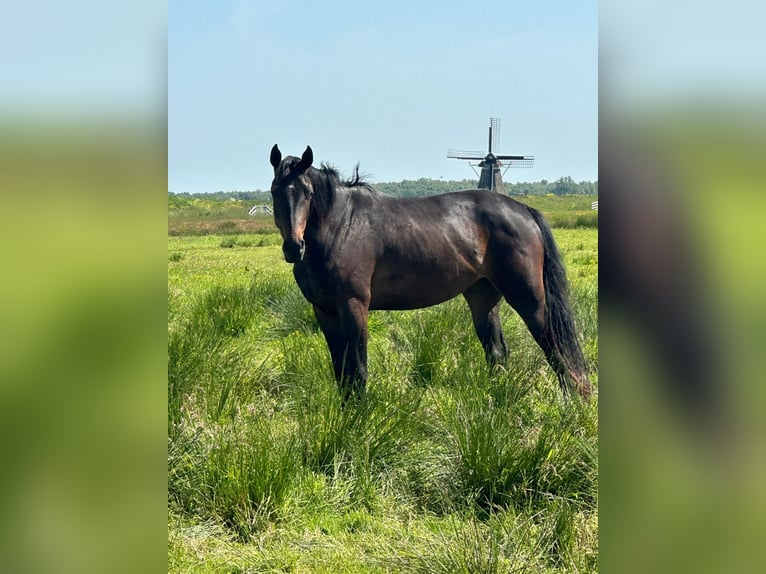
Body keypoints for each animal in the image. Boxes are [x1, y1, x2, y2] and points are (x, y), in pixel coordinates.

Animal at [270, 146, 592, 402]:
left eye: (308, 193)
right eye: (275, 191)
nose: (294, 247)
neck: (341, 227)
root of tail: (523, 210)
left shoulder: (354, 306)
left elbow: (358, 370)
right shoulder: (324, 311)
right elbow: (342, 373)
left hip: (529, 299)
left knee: (556, 348)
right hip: (483, 298)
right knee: (497, 352)